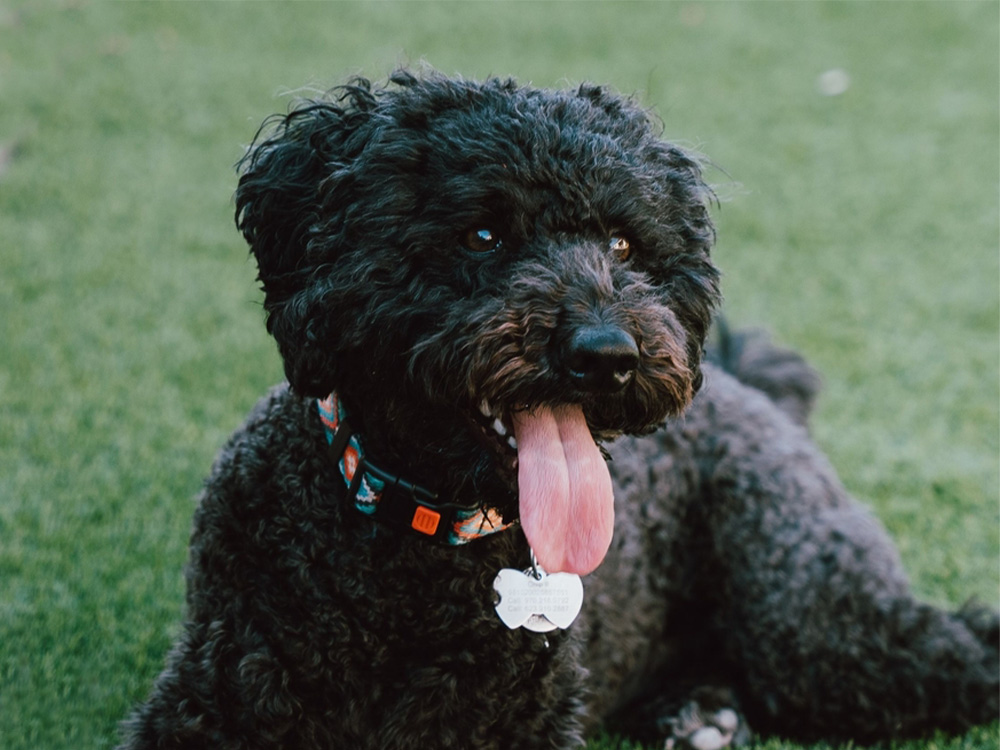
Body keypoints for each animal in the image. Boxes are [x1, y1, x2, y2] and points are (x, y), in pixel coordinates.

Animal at [119, 72, 1000, 750]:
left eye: (622, 246)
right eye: (481, 235)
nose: (607, 353)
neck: (419, 545)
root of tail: (748, 387)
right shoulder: (214, 702)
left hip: (808, 613)